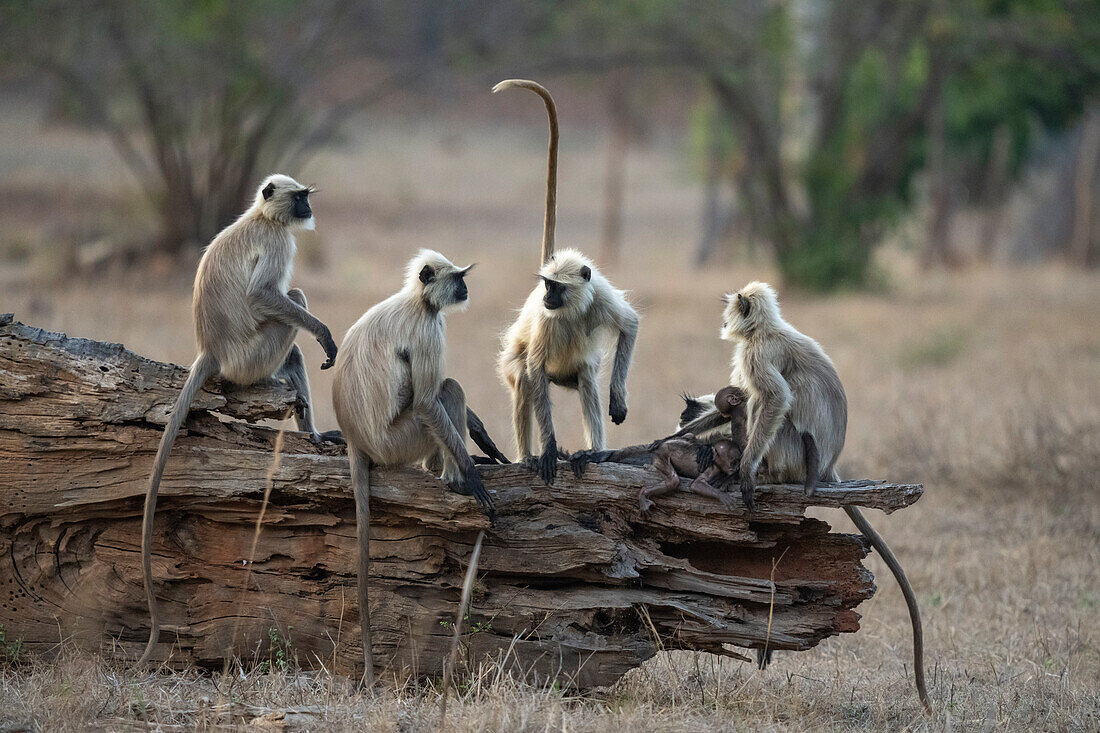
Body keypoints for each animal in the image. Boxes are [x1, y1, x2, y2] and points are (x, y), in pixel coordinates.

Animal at [139, 173, 341, 664]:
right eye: (300, 197)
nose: (308, 209)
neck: (261, 217)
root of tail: (210, 350)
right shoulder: (278, 241)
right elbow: (262, 294)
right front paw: (325, 333)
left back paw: (311, 431)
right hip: (251, 358)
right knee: (292, 298)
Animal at [330, 249, 503, 686]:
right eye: (457, 278)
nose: (465, 288)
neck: (418, 301)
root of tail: (355, 437)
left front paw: (480, 435)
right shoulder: (428, 329)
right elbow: (428, 400)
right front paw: (470, 475)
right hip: (398, 441)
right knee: (445, 390)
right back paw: (452, 477)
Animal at [495, 78, 642, 484]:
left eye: (555, 287)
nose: (545, 297)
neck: (572, 309)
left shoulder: (600, 296)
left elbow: (629, 325)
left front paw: (618, 399)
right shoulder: (545, 324)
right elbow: (534, 371)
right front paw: (547, 450)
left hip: (574, 375)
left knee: (588, 381)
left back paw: (592, 453)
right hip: (521, 365)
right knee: (525, 380)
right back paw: (528, 456)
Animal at [721, 279, 928, 708]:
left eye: (734, 304)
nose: (725, 312)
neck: (767, 329)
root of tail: (829, 467)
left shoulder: (756, 353)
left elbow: (775, 399)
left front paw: (747, 472)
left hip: (796, 458)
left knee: (773, 410)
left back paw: (767, 473)